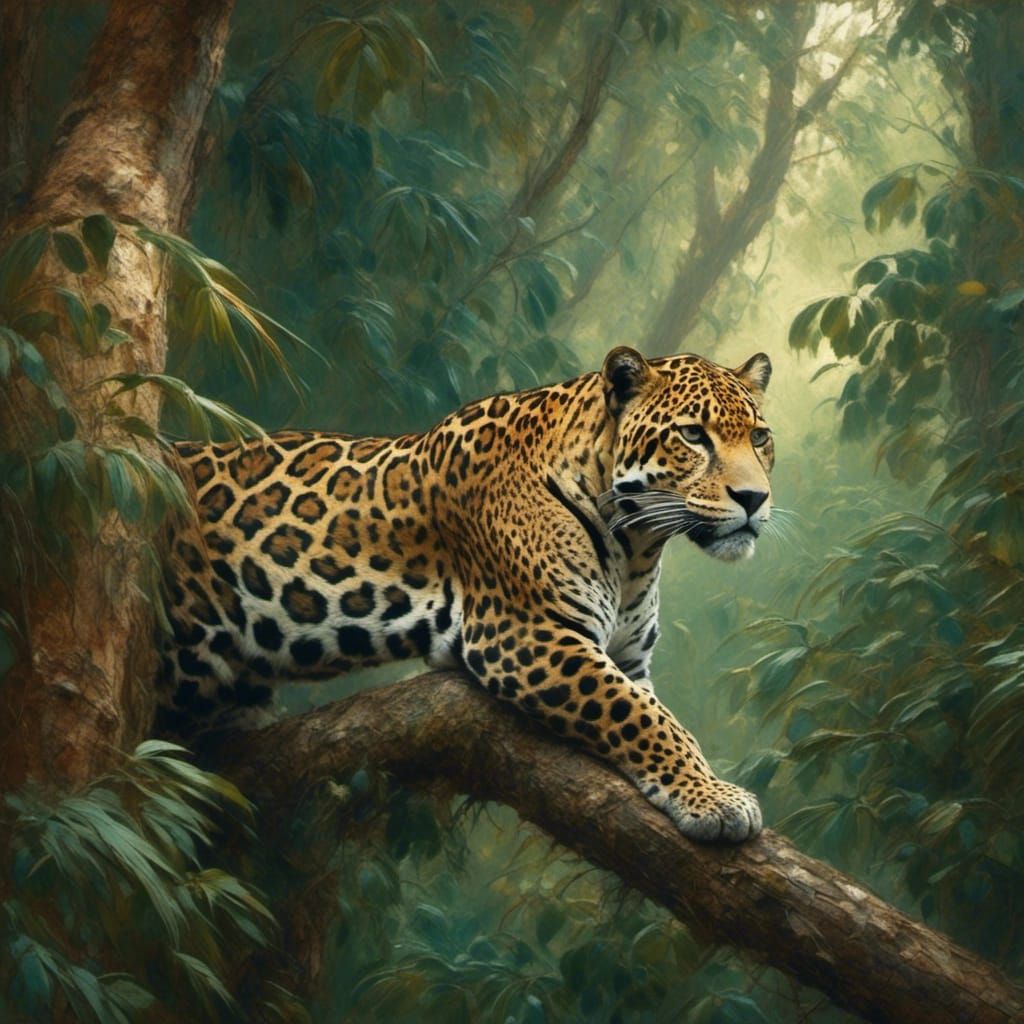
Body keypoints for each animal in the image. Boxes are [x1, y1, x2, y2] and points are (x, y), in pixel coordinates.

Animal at [157, 346, 775, 843]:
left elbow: (650, 711)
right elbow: (645, 717)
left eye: (760, 437)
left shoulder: (627, 656)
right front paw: (715, 799)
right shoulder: (528, 633)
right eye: (693, 435)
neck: (638, 546)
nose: (754, 498)